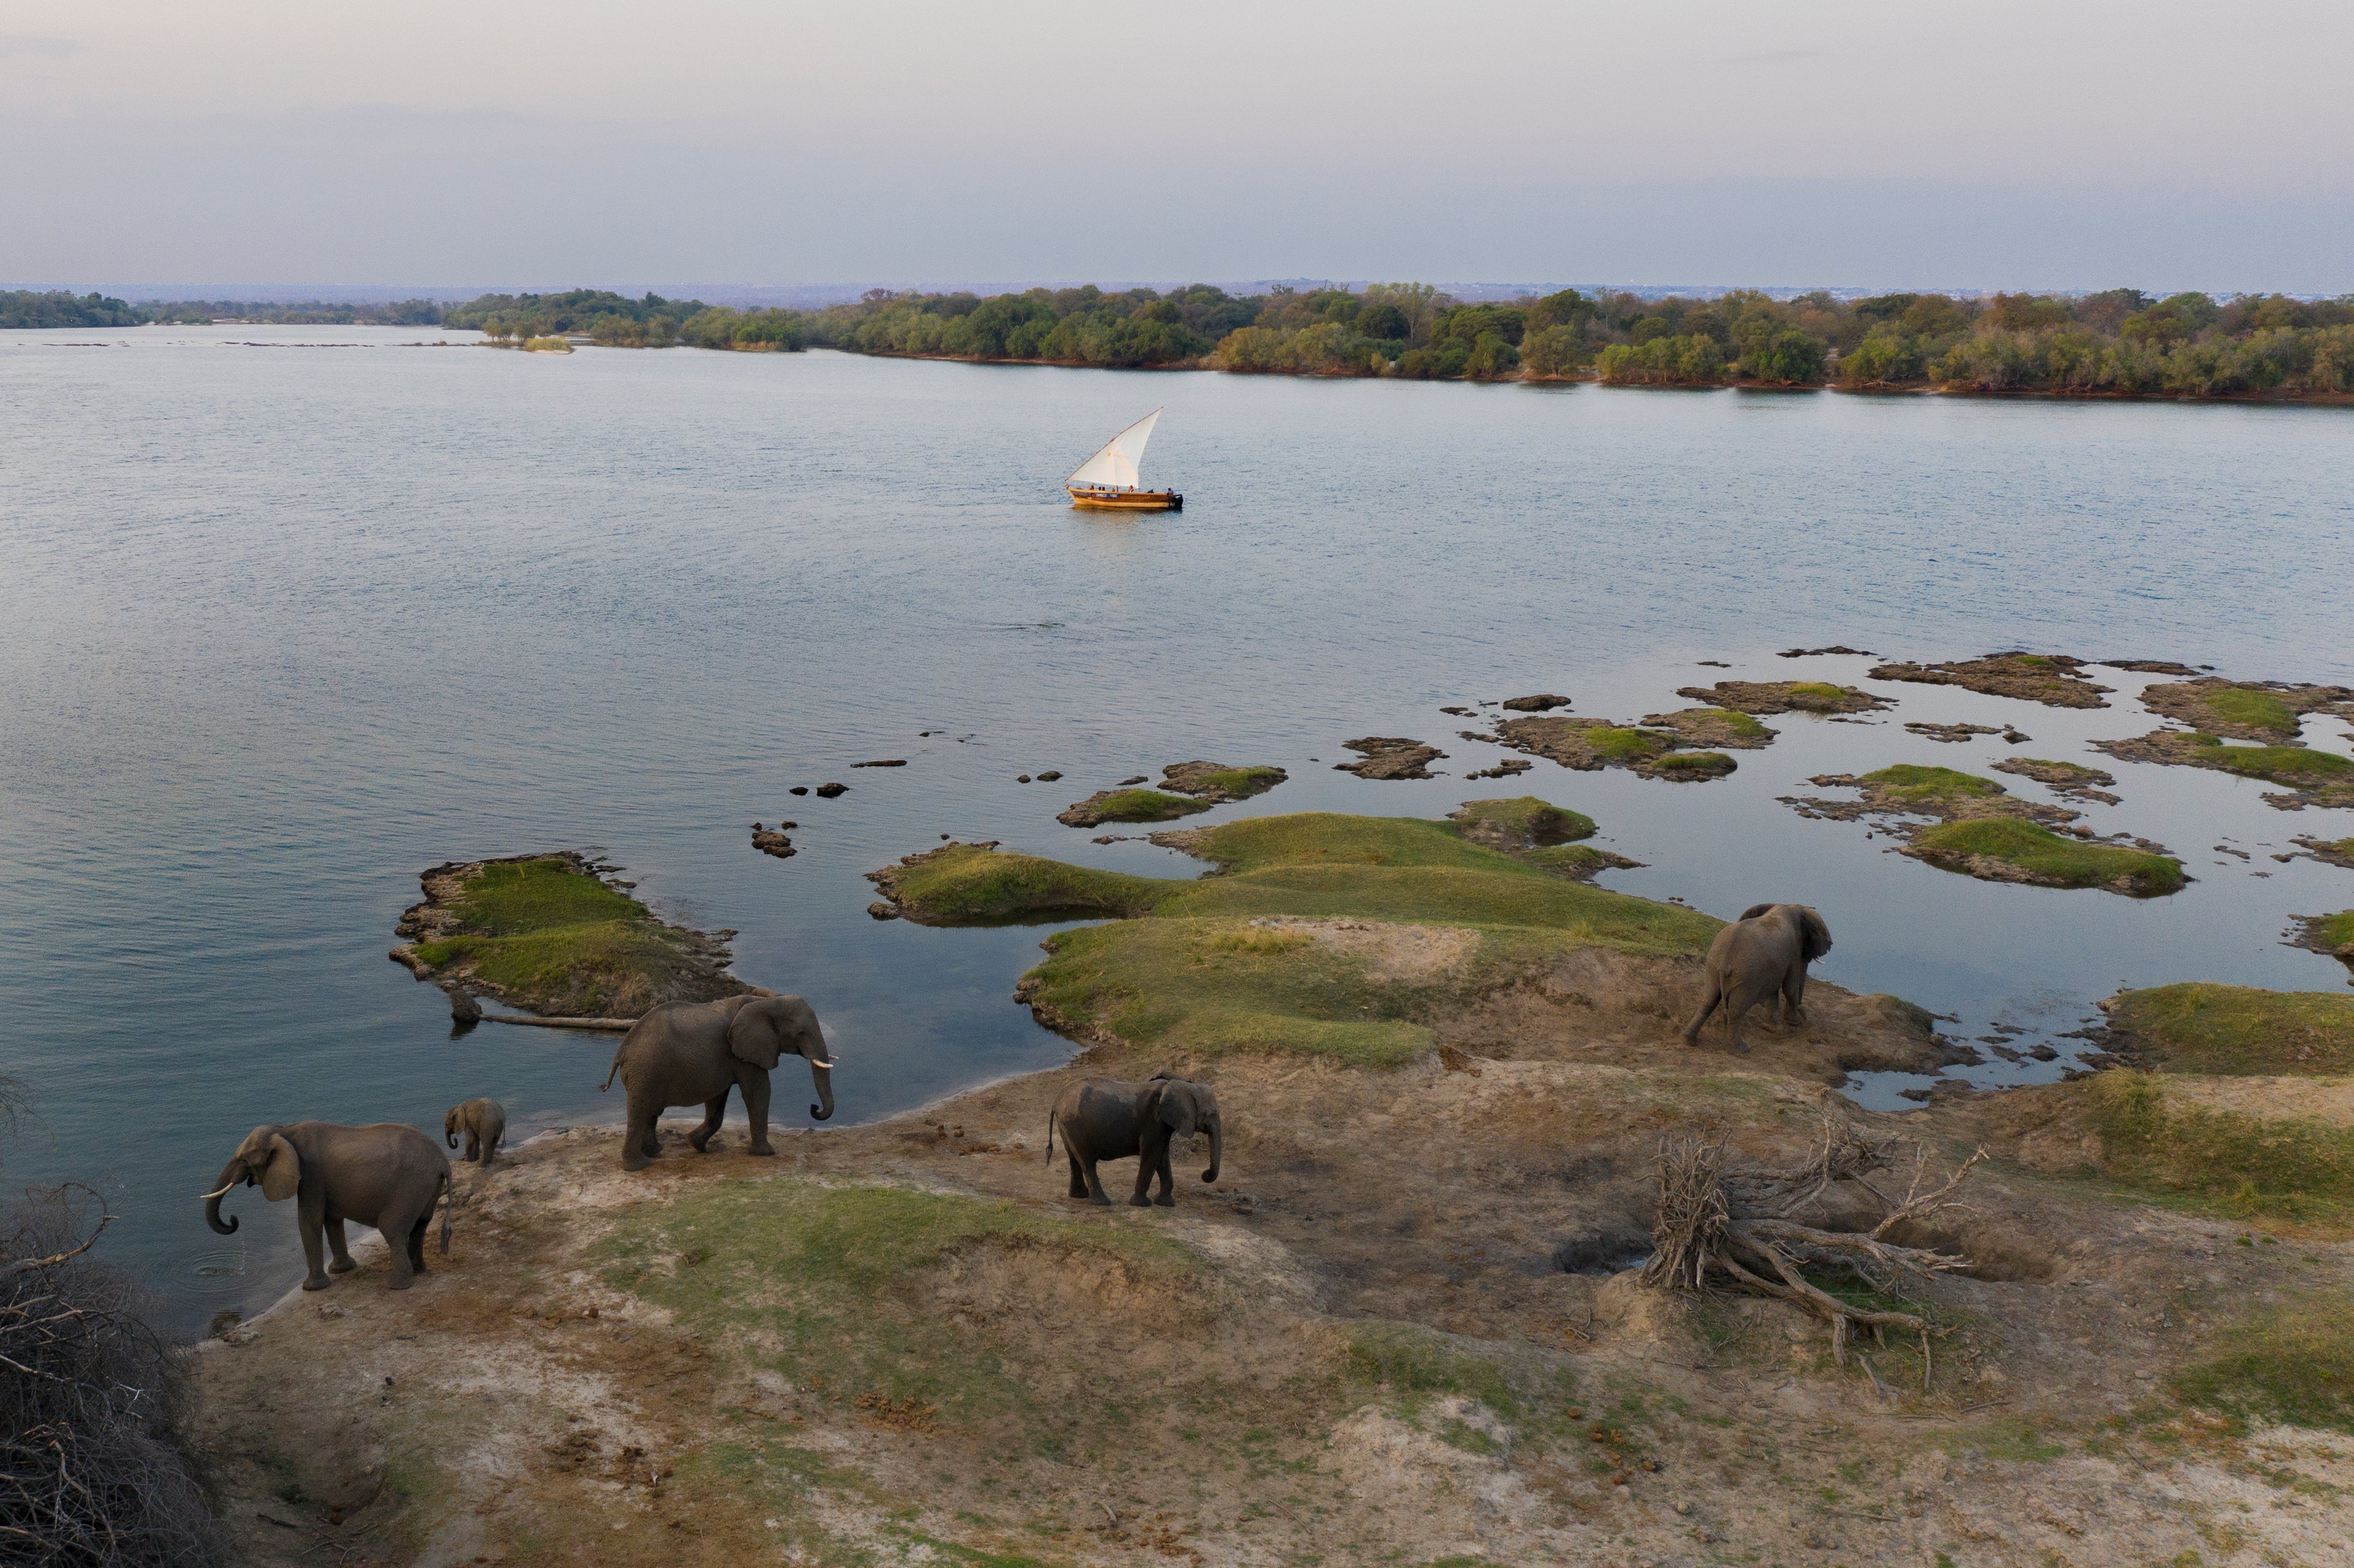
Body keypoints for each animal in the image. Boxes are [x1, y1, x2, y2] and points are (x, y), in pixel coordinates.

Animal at [203, 1122, 453, 1292]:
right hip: (426, 1188)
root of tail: (443, 1161)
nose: (234, 1219)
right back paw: (419, 1271)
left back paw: (397, 1286)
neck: (284, 1130)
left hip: (409, 1188)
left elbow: (309, 1221)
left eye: (245, 1159)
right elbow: (332, 1220)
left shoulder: (310, 1176)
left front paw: (312, 1288)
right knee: (421, 1225)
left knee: (392, 1229)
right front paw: (342, 1270)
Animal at [601, 993, 836, 1172]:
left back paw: (655, 1152)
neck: (766, 1002)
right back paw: (638, 1166)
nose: (814, 1107)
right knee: (640, 1110)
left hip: (646, 1073)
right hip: (646, 1070)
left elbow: (717, 1098)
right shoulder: (744, 1055)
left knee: (651, 1112)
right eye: (801, 1033)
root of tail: (622, 1051)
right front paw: (766, 1153)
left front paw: (696, 1145)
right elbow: (759, 1093)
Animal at [1045, 1073, 1222, 1207]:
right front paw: (1142, 1204)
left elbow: (1163, 1159)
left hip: (1068, 1125)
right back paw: (1103, 1203)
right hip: (1076, 1125)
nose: (1205, 1174)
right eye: (1211, 1113)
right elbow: (1152, 1157)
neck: (1182, 1085)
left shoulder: (1163, 1126)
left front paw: (1166, 1204)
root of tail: (1056, 1101)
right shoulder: (1153, 1121)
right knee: (1087, 1161)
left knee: (1073, 1158)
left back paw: (1079, 1195)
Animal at [1682, 902, 1833, 1054]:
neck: (1789, 906)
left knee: (1709, 1000)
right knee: (1737, 1011)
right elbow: (1790, 988)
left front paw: (1774, 1029)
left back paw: (1688, 1040)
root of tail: (1725, 962)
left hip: (1713, 966)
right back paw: (1740, 1050)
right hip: (1746, 978)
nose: (1802, 1012)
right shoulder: (1794, 952)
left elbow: (1772, 991)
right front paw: (1795, 1023)